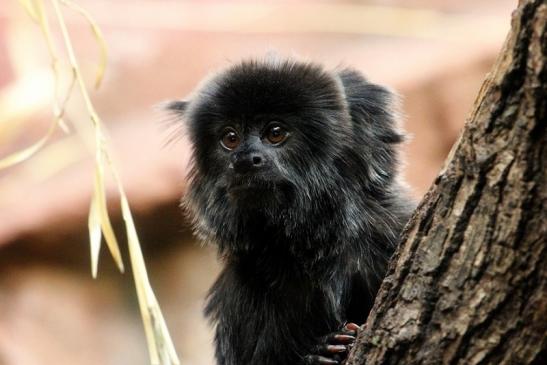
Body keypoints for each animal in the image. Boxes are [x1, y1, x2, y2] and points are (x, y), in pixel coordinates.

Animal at [167, 58, 416, 362]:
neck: (314, 243)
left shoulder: (391, 227)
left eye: (275, 133)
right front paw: (320, 354)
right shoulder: (240, 294)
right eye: (230, 138)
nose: (245, 160)